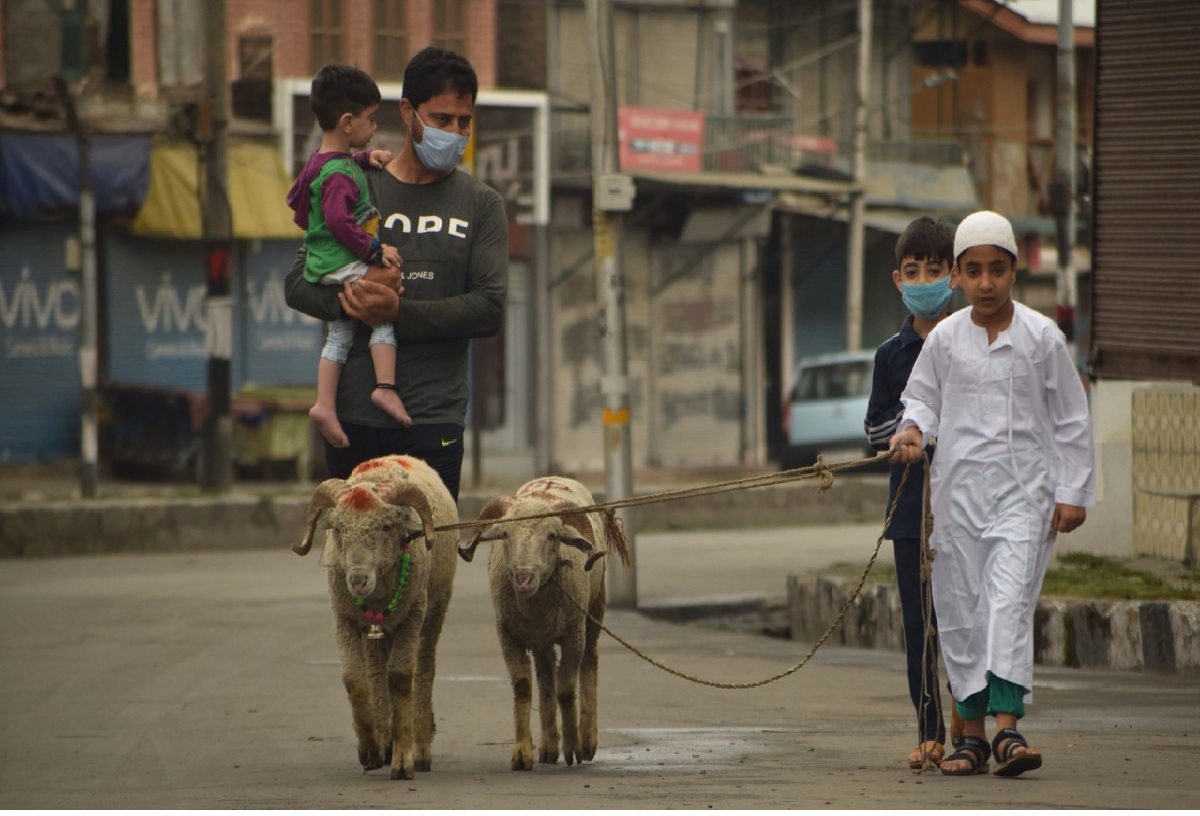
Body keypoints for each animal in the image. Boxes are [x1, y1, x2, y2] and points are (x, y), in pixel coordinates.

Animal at [292, 456, 456, 782]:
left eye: (386, 526)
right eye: (338, 528)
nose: (357, 580)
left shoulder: (412, 617)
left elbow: (401, 678)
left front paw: (403, 760)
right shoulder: (344, 619)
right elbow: (355, 680)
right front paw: (369, 749)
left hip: (434, 609)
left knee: (423, 671)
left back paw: (419, 747)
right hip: (377, 632)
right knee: (376, 674)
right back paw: (383, 741)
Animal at [453, 475, 633, 768]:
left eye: (552, 536)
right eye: (505, 534)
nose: (524, 577)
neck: (534, 606)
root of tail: (555, 477)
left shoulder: (573, 634)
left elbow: (566, 690)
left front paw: (573, 748)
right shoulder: (507, 634)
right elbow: (524, 687)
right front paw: (522, 753)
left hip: (594, 612)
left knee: (589, 664)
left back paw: (587, 739)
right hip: (542, 640)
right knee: (546, 675)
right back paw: (548, 745)